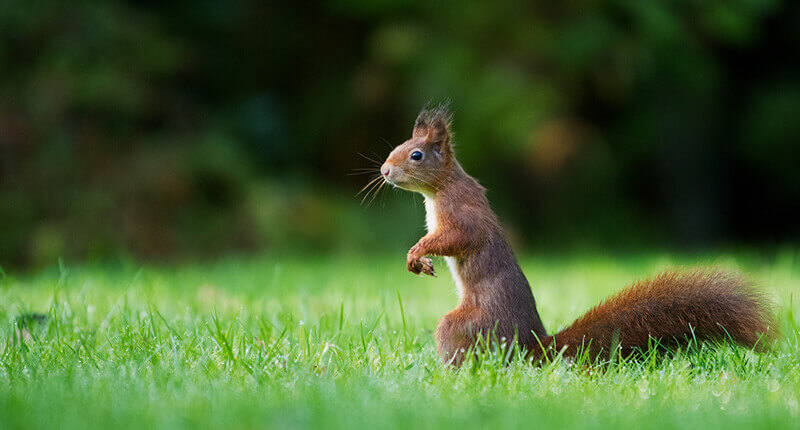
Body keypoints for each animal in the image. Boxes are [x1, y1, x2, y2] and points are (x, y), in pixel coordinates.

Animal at [378, 104, 780, 366]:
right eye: (395, 149)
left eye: (415, 155)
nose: (384, 171)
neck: (441, 188)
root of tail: (533, 348)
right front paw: (420, 260)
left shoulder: (462, 214)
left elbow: (458, 238)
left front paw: (417, 252)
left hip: (467, 326)